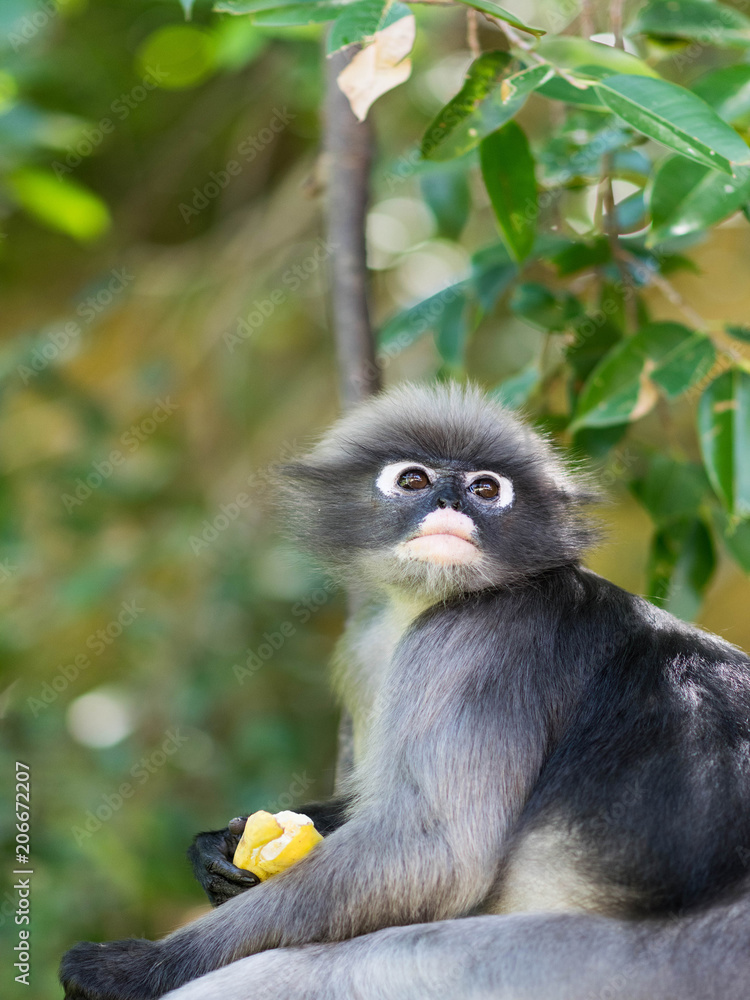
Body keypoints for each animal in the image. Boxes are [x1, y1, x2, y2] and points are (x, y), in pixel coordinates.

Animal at [60, 381, 750, 1000]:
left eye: (486, 488)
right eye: (414, 480)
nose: (449, 501)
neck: (426, 602)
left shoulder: (474, 637)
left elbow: (432, 854)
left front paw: (135, 969)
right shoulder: (368, 648)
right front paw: (218, 850)